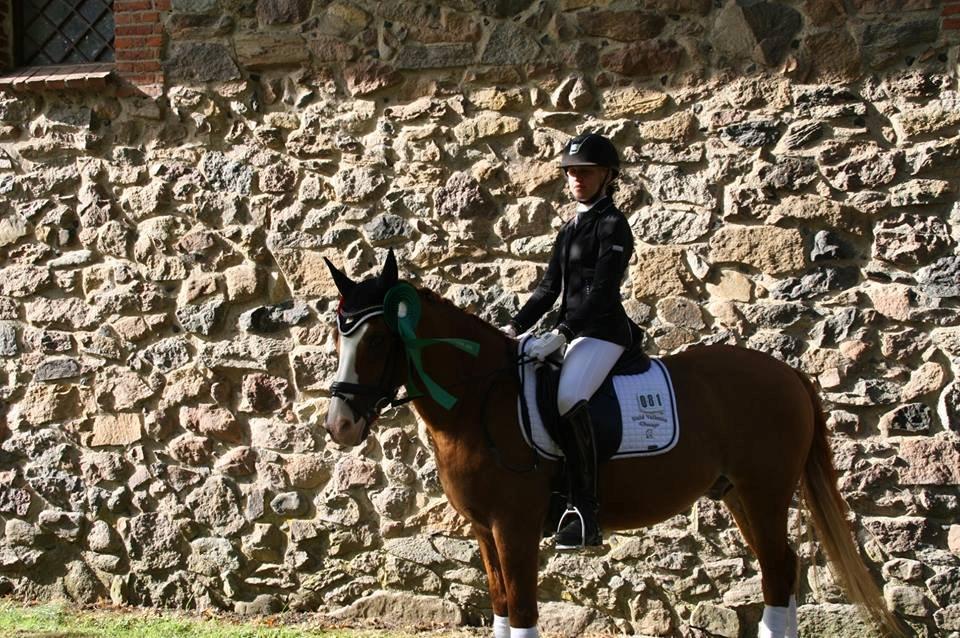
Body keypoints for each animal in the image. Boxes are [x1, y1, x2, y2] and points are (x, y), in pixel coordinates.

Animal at [321, 250, 904, 638]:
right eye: (337, 335)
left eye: (378, 339)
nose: (339, 426)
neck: (477, 399)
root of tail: (789, 373)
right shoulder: (486, 530)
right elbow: (502, 606)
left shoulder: (514, 526)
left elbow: (524, 612)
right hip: (739, 494)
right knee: (781, 566)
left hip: (764, 492)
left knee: (779, 573)